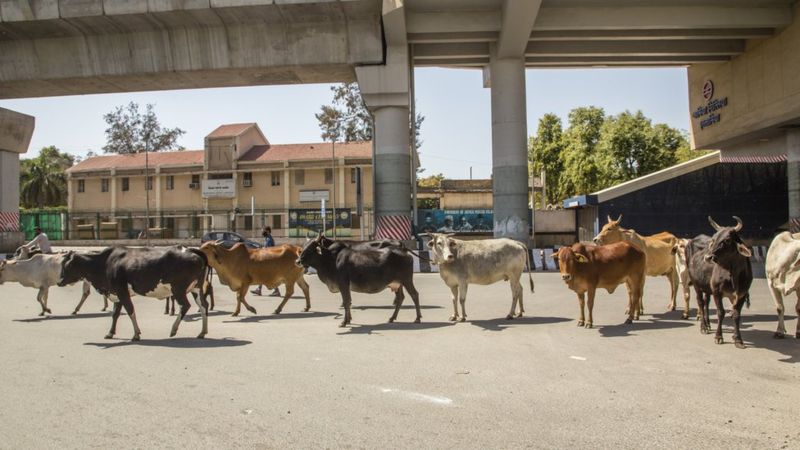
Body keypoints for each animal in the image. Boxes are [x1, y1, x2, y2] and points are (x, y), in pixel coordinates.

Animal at [58, 246, 211, 342]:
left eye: (68, 265)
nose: (59, 282)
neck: (105, 263)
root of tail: (191, 249)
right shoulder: (117, 294)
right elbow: (115, 314)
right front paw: (110, 333)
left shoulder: (122, 291)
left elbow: (130, 310)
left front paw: (136, 334)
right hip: (196, 288)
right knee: (203, 306)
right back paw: (202, 332)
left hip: (178, 289)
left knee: (185, 305)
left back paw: (174, 329)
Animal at [684, 217, 752, 348]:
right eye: (714, 238)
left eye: (727, 240)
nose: (708, 257)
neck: (733, 273)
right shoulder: (717, 291)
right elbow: (720, 312)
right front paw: (718, 336)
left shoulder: (742, 294)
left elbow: (736, 314)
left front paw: (737, 339)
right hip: (697, 285)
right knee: (701, 303)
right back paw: (704, 326)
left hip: (707, 287)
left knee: (706, 302)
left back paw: (708, 324)